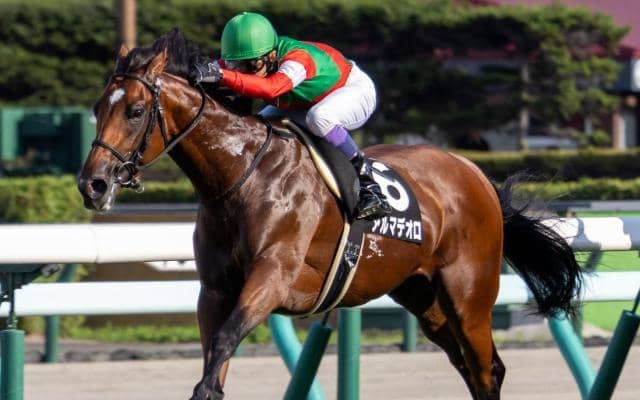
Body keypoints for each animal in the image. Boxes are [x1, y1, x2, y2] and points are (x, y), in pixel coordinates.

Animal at [77, 29, 581, 400]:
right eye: (97, 108)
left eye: (136, 111)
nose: (92, 184)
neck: (242, 176)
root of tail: (475, 173)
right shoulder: (215, 290)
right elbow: (213, 361)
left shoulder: (272, 276)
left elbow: (220, 349)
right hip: (424, 297)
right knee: (468, 365)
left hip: (469, 296)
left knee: (485, 369)